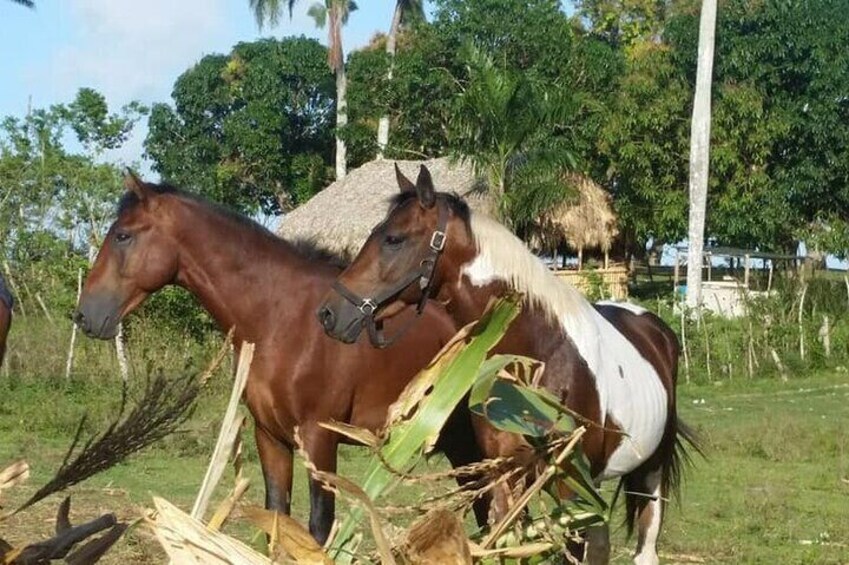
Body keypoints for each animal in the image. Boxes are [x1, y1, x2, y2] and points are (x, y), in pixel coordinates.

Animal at [76, 172, 486, 540]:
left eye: (123, 235)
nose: (84, 315)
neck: (281, 319)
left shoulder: (318, 440)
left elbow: (318, 528)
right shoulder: (270, 437)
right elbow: (277, 519)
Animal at [318, 165, 696, 560]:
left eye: (394, 239)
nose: (330, 313)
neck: (540, 358)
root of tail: (655, 329)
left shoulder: (572, 485)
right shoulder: (505, 477)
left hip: (650, 472)